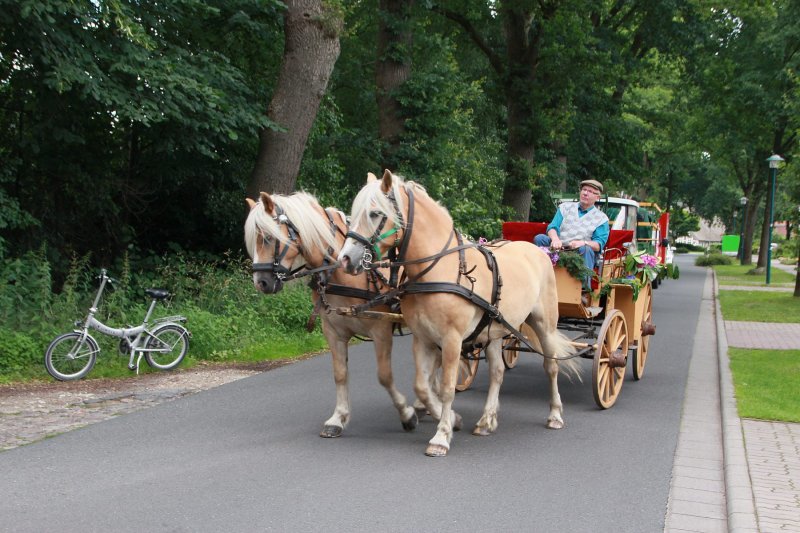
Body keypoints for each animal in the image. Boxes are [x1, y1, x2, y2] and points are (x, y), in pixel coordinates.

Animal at [244, 191, 418, 436]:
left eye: (268, 237)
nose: (261, 282)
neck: (341, 273)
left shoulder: (381, 329)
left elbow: (384, 376)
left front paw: (406, 414)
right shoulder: (333, 332)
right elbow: (340, 374)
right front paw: (338, 418)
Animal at [336, 171, 576, 458]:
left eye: (374, 213)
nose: (345, 259)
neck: (439, 269)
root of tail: (538, 251)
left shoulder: (452, 340)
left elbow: (447, 388)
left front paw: (441, 436)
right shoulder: (423, 339)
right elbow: (423, 386)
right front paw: (450, 419)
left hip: (544, 325)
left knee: (551, 366)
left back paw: (555, 415)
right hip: (494, 330)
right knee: (497, 372)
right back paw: (486, 421)